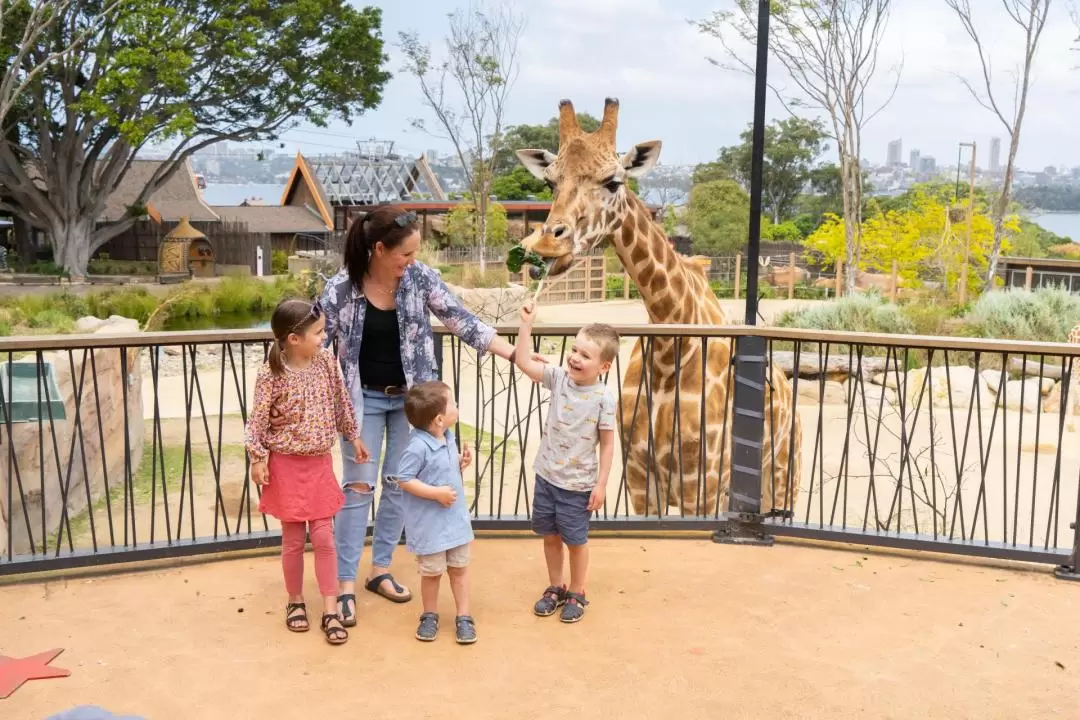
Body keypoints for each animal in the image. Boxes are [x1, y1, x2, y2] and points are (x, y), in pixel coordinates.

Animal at [514, 99, 803, 518]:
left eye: (613, 181)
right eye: (550, 183)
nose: (548, 244)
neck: (670, 354)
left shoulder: (704, 486)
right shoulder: (640, 479)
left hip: (783, 479)